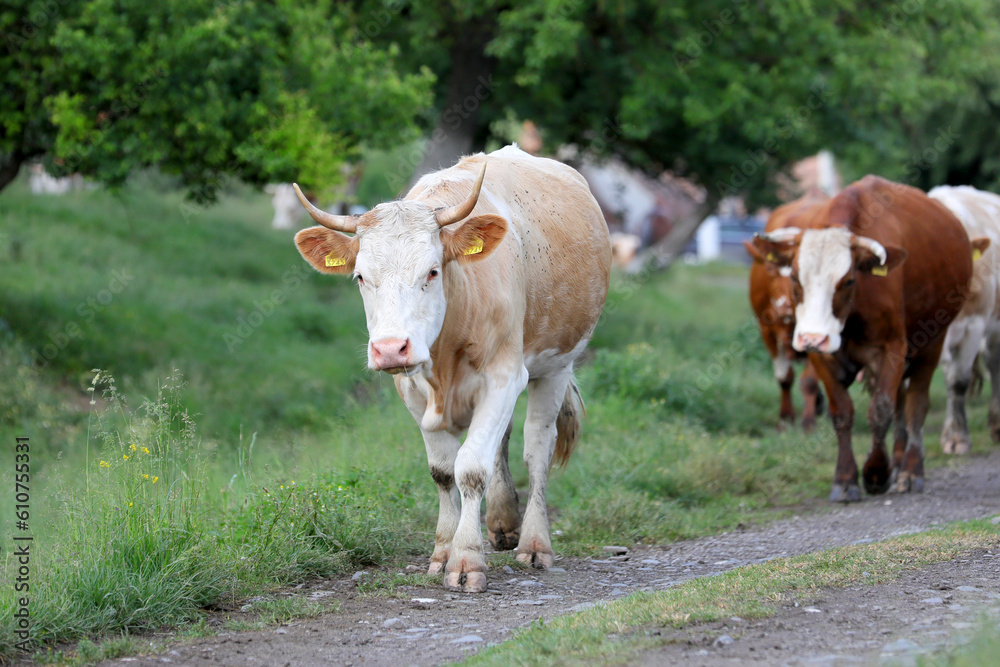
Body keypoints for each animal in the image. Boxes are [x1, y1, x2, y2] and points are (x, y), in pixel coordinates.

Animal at [292, 145, 612, 588]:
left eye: (431, 270)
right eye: (359, 277)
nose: (390, 349)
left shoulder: (504, 376)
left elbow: (471, 469)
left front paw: (466, 560)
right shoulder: (412, 391)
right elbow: (443, 471)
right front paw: (443, 552)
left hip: (558, 364)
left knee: (537, 448)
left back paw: (534, 542)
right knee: (502, 441)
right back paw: (503, 521)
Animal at [744, 196, 828, 430]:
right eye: (769, 270)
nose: (783, 306)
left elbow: (809, 380)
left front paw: (808, 421)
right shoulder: (766, 330)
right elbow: (784, 376)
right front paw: (785, 417)